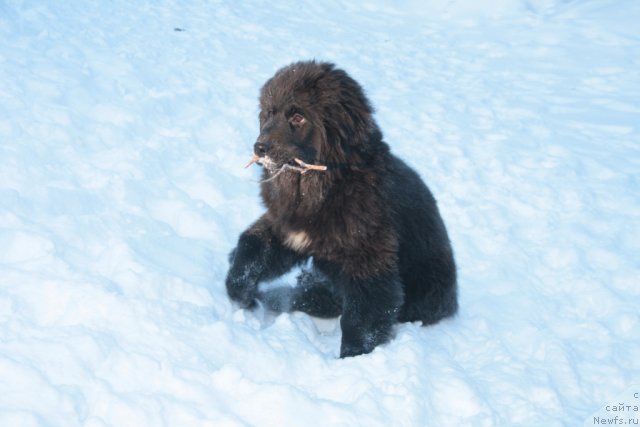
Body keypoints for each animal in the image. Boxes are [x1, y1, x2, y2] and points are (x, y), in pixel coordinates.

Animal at [225, 61, 456, 360]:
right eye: (269, 113)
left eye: (298, 117)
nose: (259, 147)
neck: (321, 185)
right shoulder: (290, 231)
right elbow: (251, 250)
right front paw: (240, 292)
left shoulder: (369, 258)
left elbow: (362, 317)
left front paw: (353, 358)